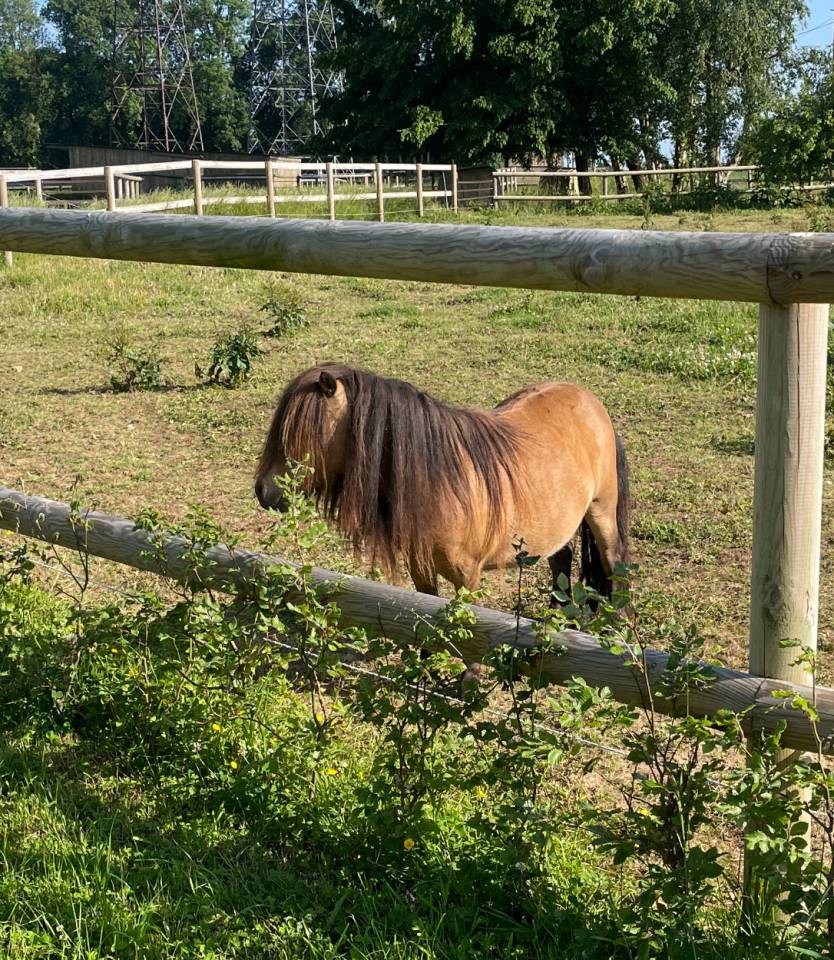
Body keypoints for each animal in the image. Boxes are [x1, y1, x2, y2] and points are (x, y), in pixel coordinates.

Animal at [254, 362, 630, 605]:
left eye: (300, 432)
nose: (263, 491)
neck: (440, 485)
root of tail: (589, 400)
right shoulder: (420, 567)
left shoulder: (468, 577)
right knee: (560, 559)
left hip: (601, 512)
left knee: (613, 562)